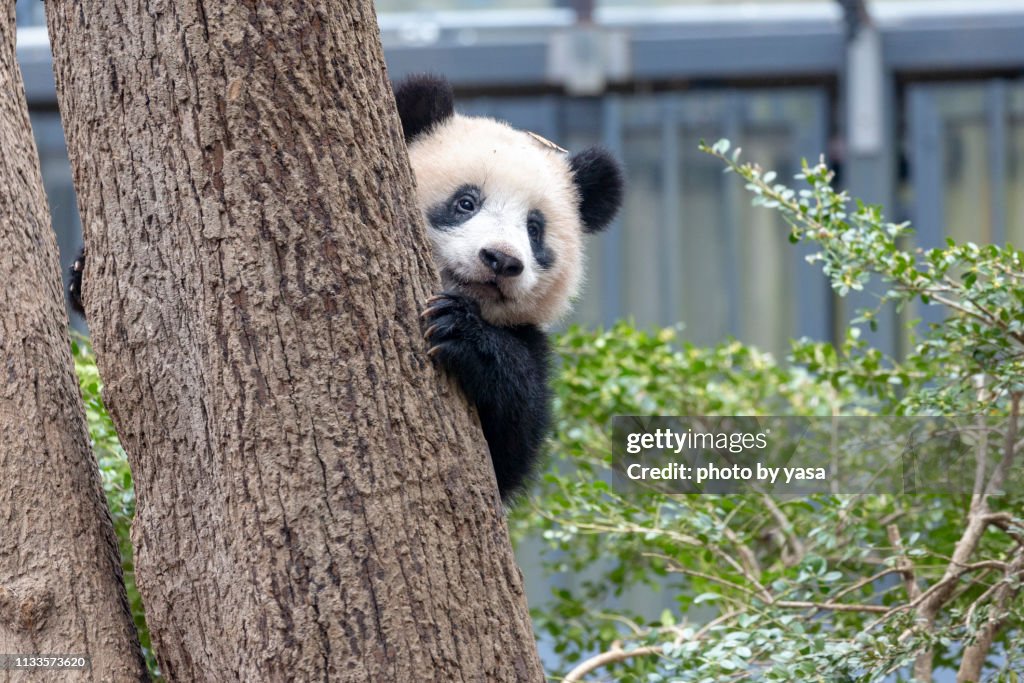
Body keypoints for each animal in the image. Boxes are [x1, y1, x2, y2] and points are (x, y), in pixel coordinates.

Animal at [67, 74, 624, 503]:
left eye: (535, 230)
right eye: (466, 202)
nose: (502, 260)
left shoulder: (532, 346)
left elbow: (513, 440)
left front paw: (464, 335)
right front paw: (79, 273)